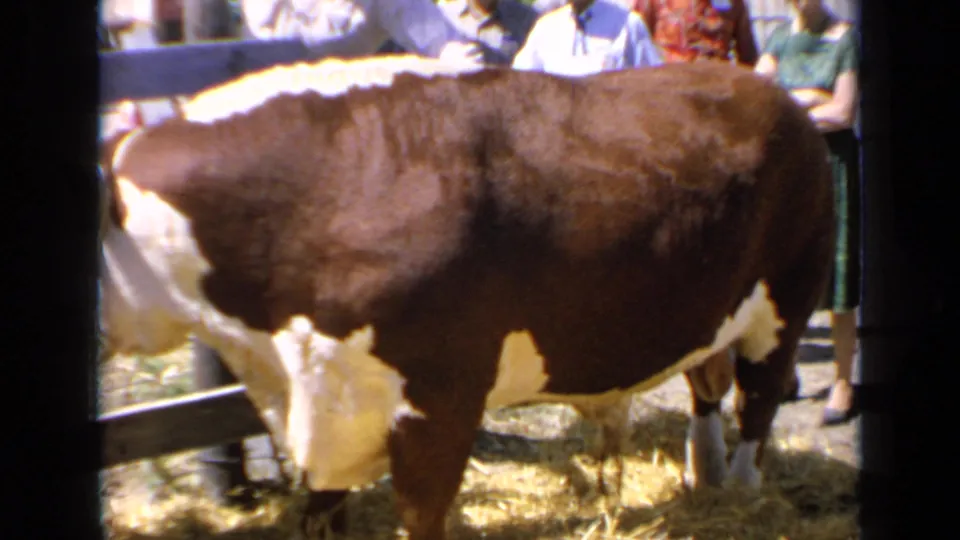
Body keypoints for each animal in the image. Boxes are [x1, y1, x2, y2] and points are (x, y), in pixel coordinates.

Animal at [98, 54, 835, 540]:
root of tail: (763, 87)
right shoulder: (320, 406)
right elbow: (321, 510)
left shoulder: (437, 401)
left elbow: (422, 513)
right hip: (711, 311)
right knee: (707, 385)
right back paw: (704, 480)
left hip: (787, 302)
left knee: (758, 404)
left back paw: (741, 492)